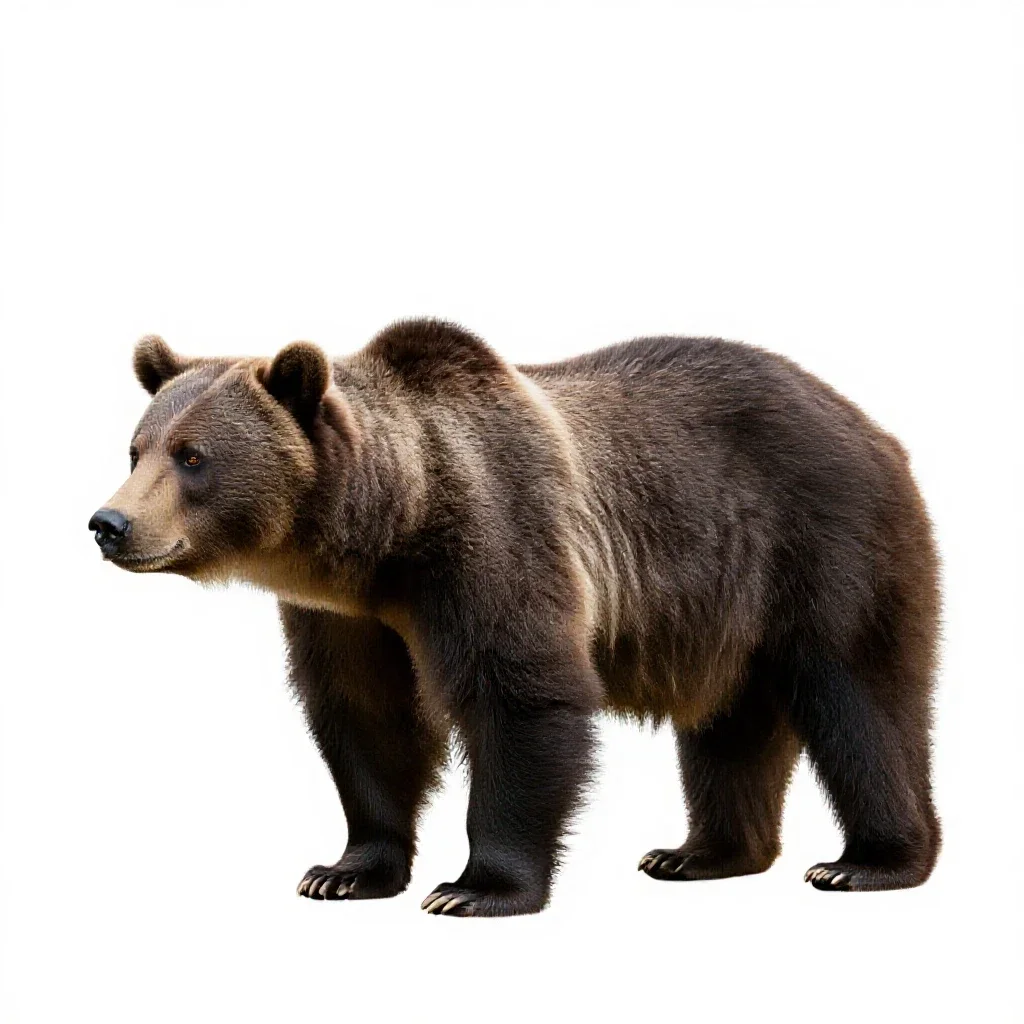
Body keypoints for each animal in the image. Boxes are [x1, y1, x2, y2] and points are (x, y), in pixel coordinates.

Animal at [89, 318, 941, 916]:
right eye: (137, 448)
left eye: (193, 456)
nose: (109, 523)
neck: (388, 534)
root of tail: (875, 425)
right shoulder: (346, 616)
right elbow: (365, 717)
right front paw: (342, 872)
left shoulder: (495, 537)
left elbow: (519, 695)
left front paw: (474, 887)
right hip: (725, 611)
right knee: (730, 725)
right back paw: (699, 854)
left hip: (825, 541)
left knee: (861, 698)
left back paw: (867, 861)